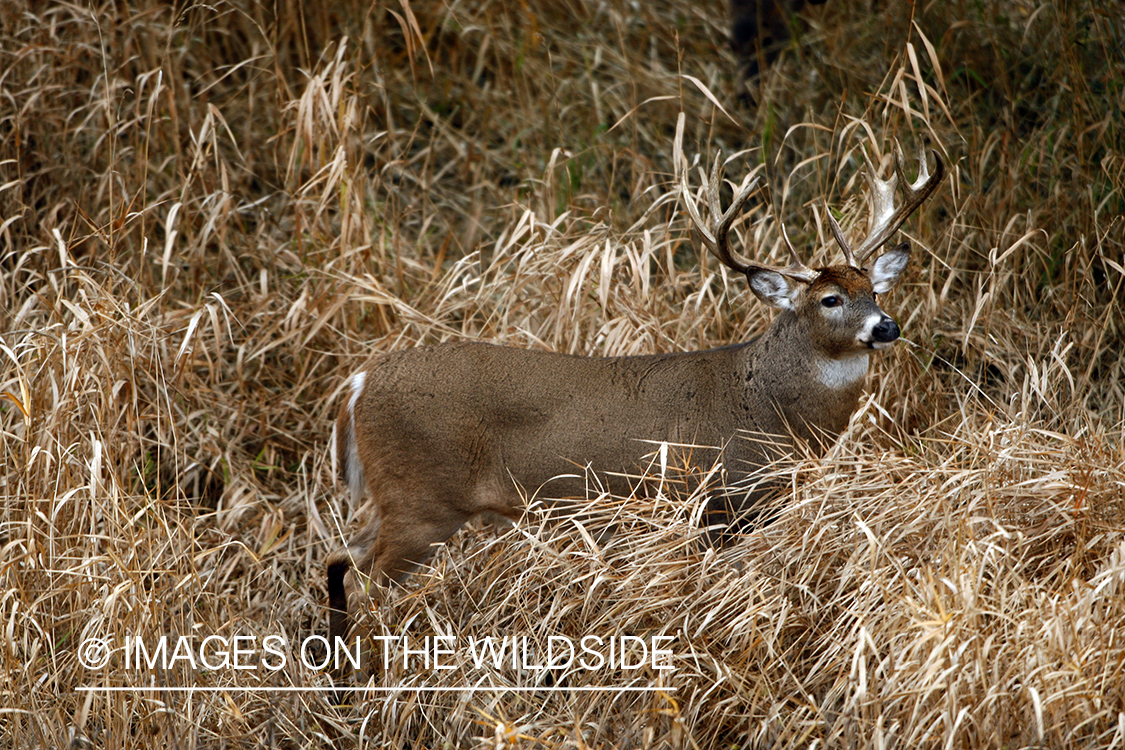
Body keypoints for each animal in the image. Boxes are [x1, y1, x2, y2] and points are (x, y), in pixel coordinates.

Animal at [326, 133, 940, 647]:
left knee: (339, 560)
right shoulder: (718, 501)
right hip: (421, 500)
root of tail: (359, 384)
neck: (770, 410)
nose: (886, 326)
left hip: (398, 501)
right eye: (830, 300)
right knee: (365, 587)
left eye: (873, 290)